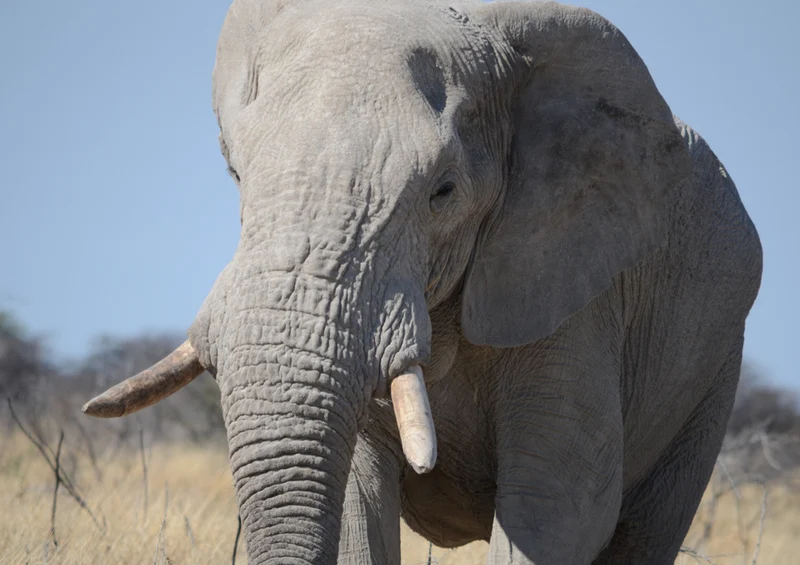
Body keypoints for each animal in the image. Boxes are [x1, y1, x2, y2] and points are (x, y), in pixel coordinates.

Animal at [83, 0, 763, 563]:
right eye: (234, 172)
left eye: (444, 191)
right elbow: (357, 508)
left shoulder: (578, 296)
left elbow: (558, 511)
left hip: (712, 372)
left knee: (645, 531)